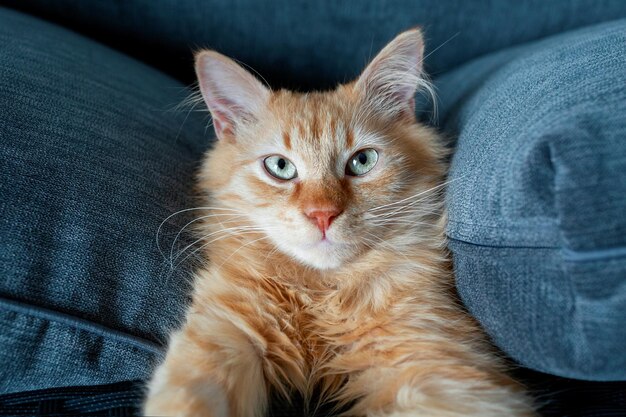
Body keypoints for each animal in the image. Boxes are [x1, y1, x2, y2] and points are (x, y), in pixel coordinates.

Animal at [144, 30, 532, 416]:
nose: (322, 214)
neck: (323, 293)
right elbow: (190, 393)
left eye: (362, 161)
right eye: (280, 167)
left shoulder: (433, 362)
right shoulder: (228, 326)